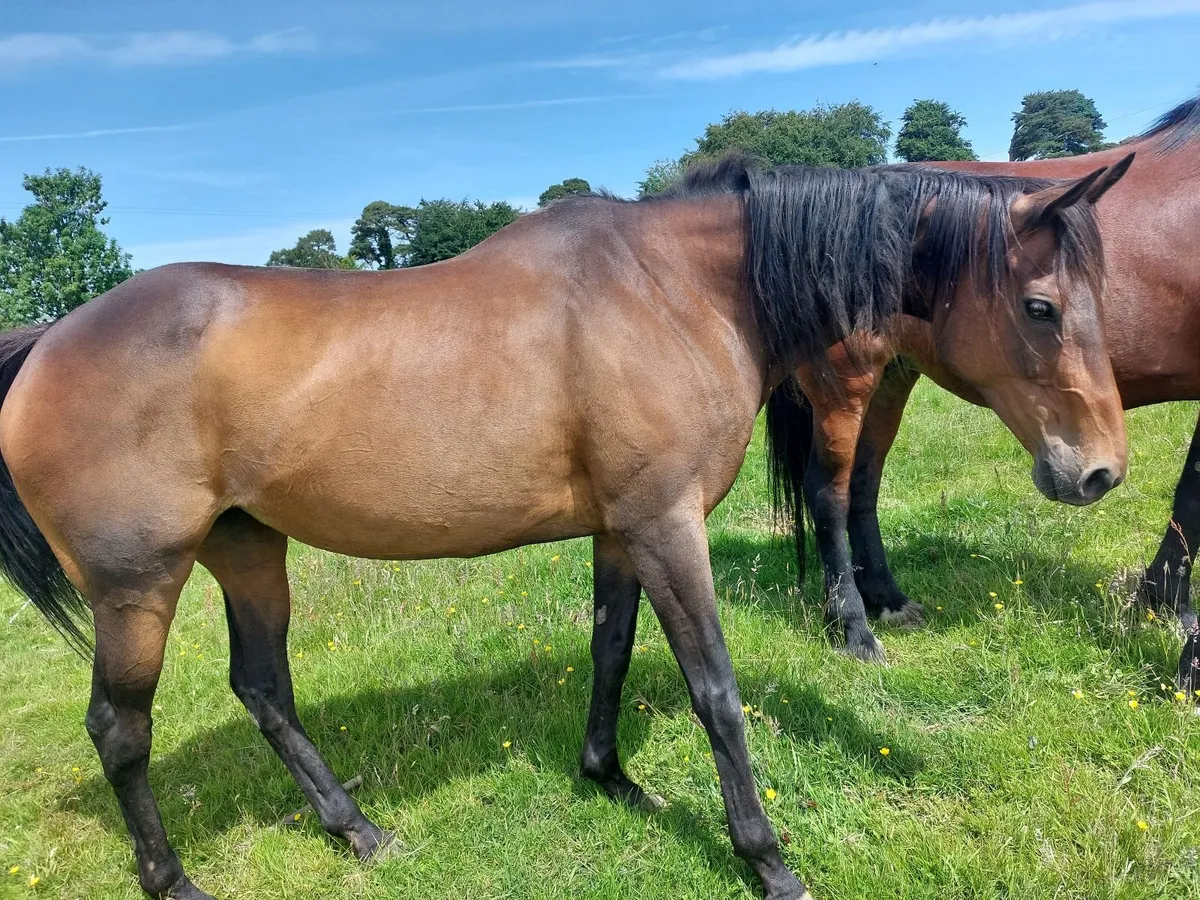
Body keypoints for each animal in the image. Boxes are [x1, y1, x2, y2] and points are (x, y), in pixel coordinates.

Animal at [0, 155, 1125, 900]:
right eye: (1040, 307)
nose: (1101, 469)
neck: (674, 293)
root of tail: (49, 339)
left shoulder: (623, 528)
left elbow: (612, 649)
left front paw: (611, 778)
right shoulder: (669, 526)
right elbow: (716, 693)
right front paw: (767, 860)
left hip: (246, 546)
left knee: (264, 691)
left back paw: (359, 831)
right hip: (139, 586)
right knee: (121, 731)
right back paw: (174, 880)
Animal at [770, 94, 1200, 686]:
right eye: (1040, 308)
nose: (1102, 472)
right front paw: (1179, 631)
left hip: (890, 380)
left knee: (862, 483)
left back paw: (887, 599)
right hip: (844, 389)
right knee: (828, 493)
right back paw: (854, 627)